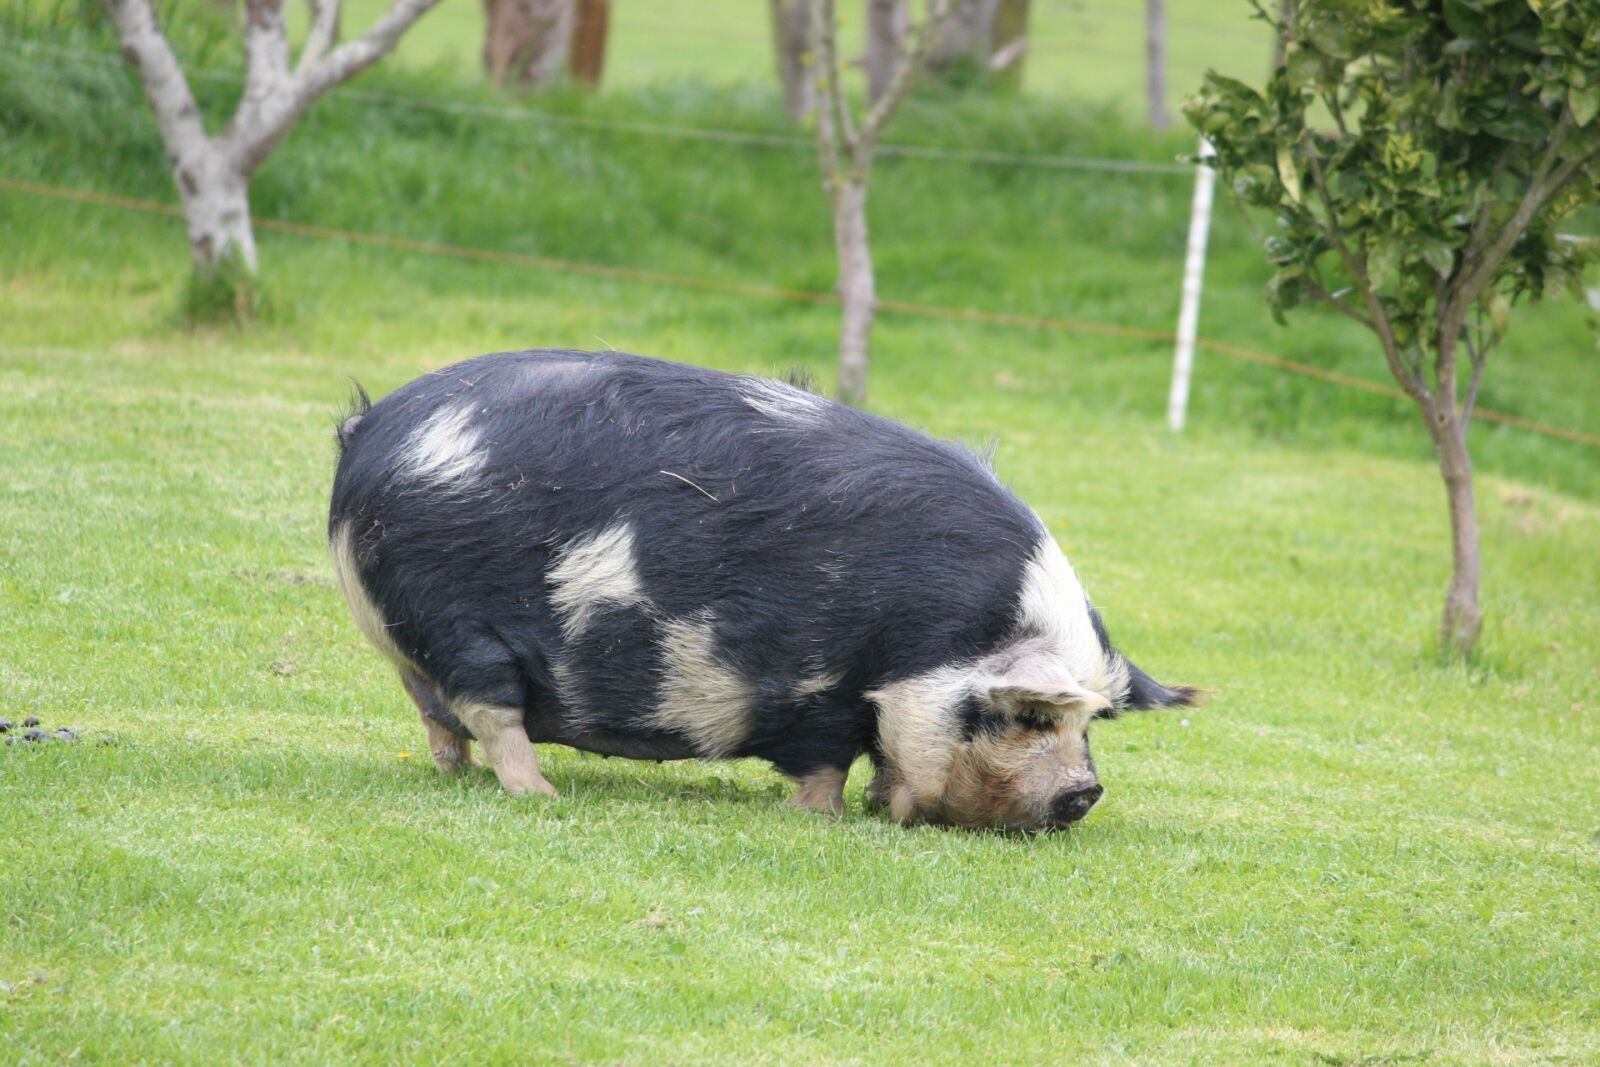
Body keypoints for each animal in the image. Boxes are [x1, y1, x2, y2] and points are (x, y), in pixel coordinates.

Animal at [328, 350, 1195, 830]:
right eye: (1027, 715)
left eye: (1090, 723)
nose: (1085, 791)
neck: (942, 638)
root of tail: (373, 436)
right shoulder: (822, 685)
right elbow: (826, 759)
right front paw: (827, 817)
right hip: (458, 621)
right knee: (491, 711)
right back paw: (540, 794)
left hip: (413, 638)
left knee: (437, 715)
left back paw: (459, 775)